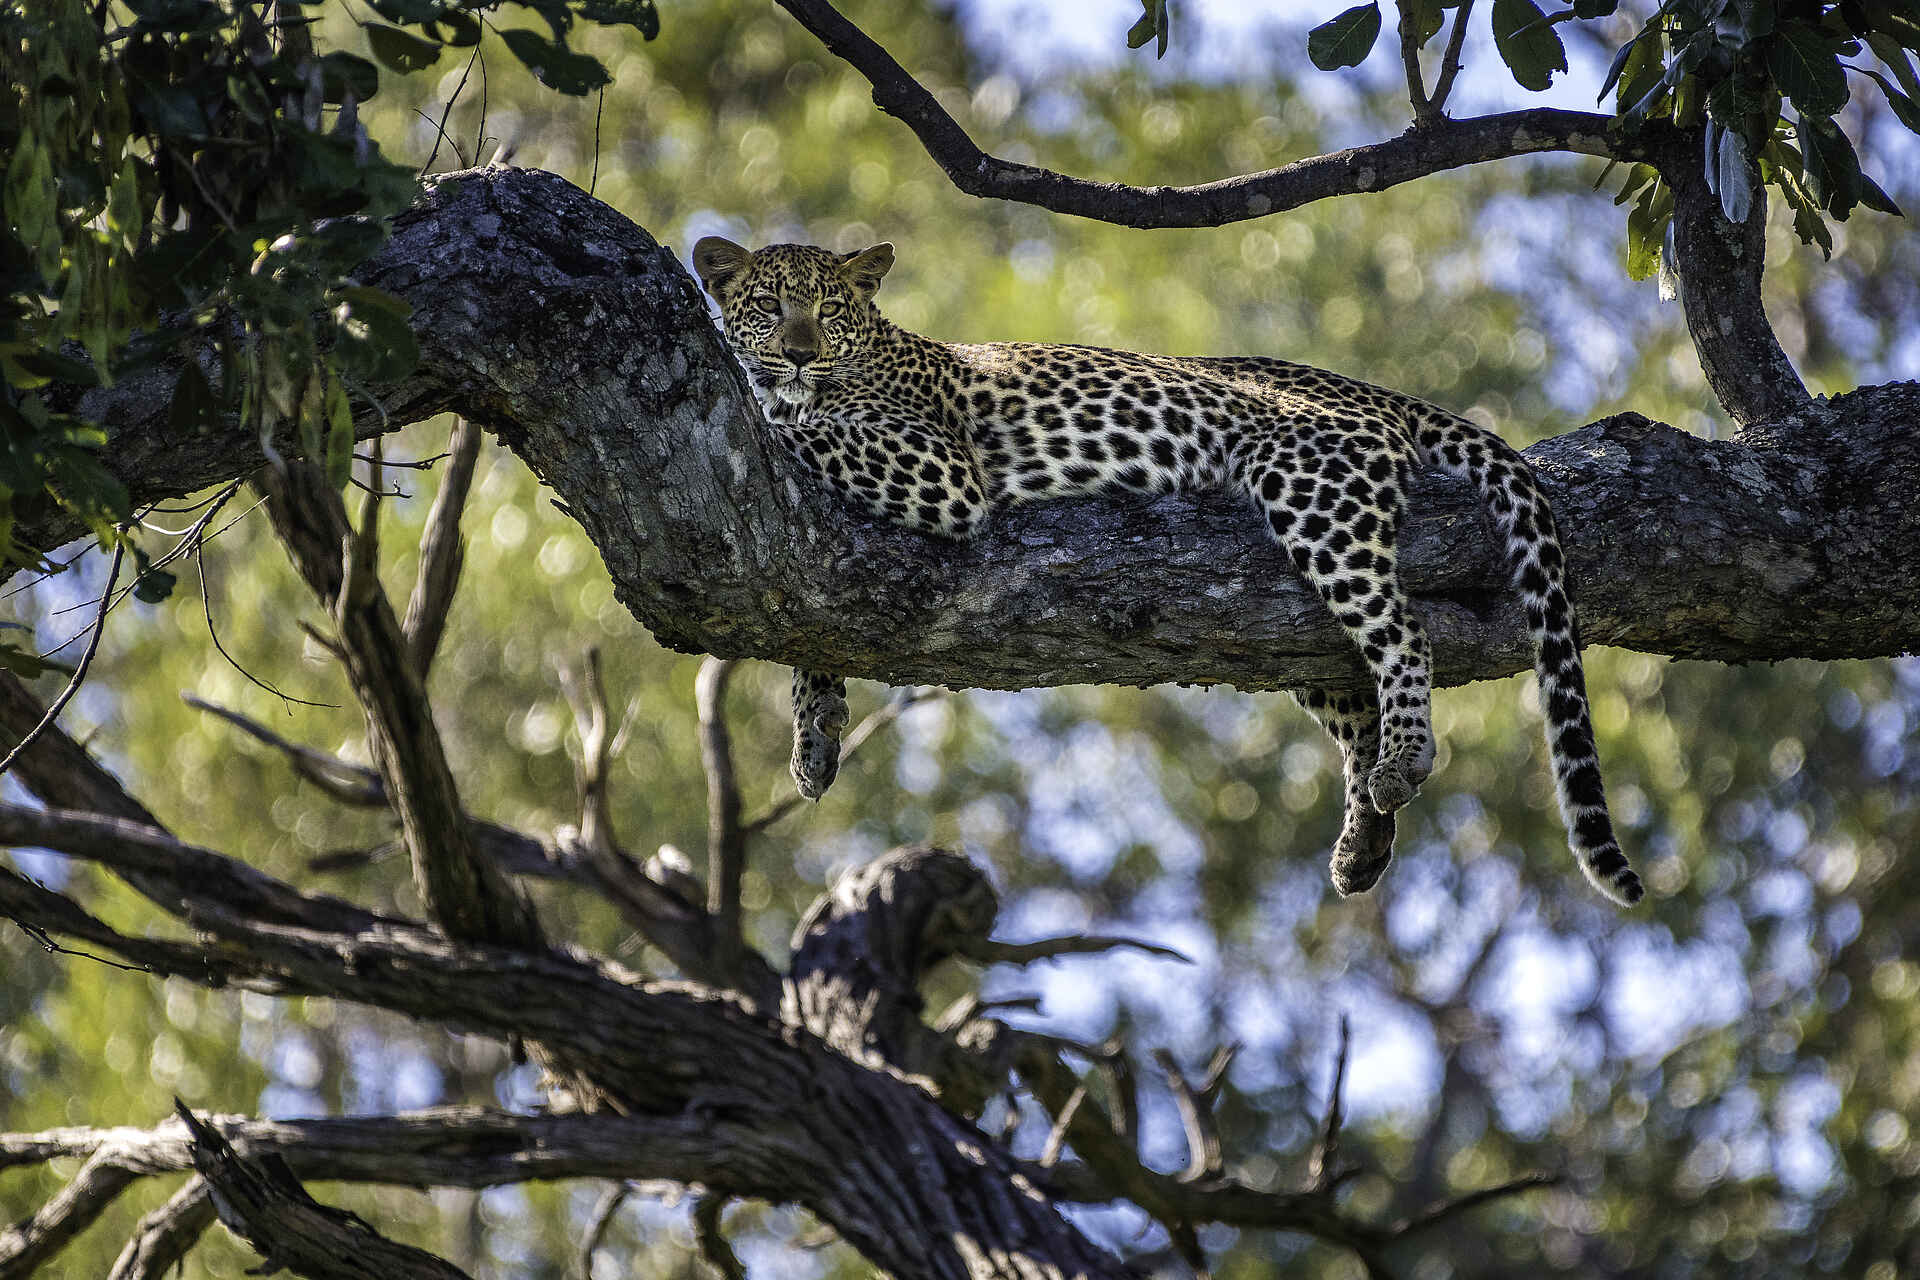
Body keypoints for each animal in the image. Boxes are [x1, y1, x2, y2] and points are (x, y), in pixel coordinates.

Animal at [692, 235, 1643, 907]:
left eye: (827, 309)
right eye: (770, 305)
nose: (800, 353)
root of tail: (1375, 395)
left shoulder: (940, 470)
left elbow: (802, 432)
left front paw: (780, 411)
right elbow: (812, 620)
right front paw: (814, 734)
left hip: (1312, 484)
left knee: (1404, 634)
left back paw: (1405, 760)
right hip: (1283, 619)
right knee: (1353, 692)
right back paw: (1363, 839)